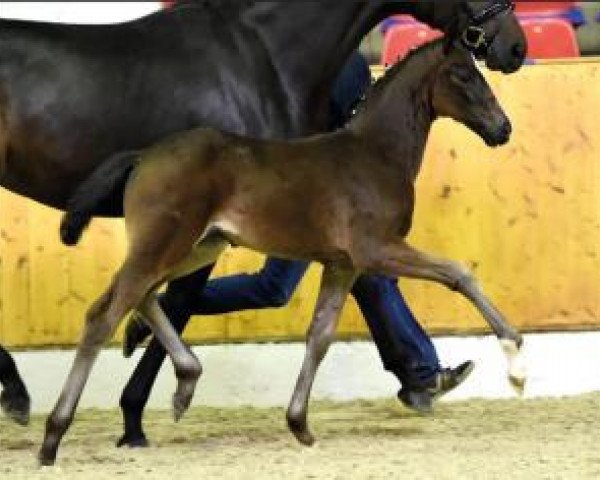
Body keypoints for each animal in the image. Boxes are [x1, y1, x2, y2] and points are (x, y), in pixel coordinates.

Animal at [0, 0, 524, 436]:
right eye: (464, 75)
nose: (503, 128)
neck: (372, 151)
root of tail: (143, 155)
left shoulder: (344, 260)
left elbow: (322, 331)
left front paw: (305, 421)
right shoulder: (374, 248)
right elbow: (457, 273)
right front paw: (514, 359)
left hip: (194, 243)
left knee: (139, 294)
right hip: (173, 242)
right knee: (112, 306)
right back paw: (47, 420)